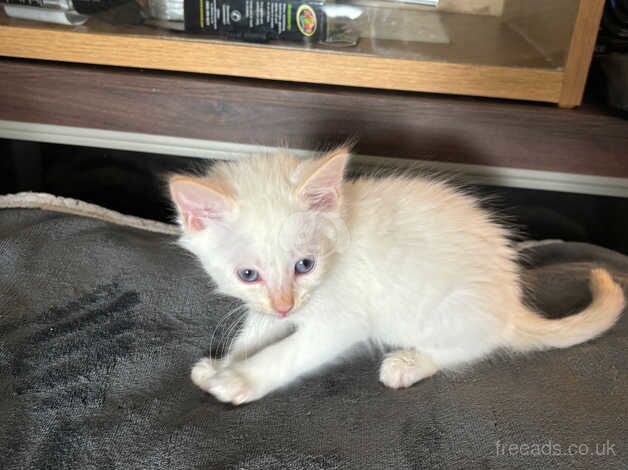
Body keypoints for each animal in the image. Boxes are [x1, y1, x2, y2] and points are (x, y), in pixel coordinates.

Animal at [169, 146, 624, 404]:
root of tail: (511, 305)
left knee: (474, 348)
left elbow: (288, 351)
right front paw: (224, 364)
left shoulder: (343, 319)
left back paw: (409, 363)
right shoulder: (271, 308)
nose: (285, 305)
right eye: (248, 274)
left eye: (304, 265)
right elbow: (256, 332)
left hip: (443, 312)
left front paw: (239, 379)